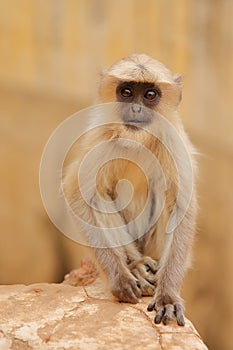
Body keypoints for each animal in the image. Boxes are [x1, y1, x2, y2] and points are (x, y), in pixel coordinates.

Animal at [62, 54, 198, 326]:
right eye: (126, 93)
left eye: (149, 95)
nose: (136, 109)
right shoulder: (101, 139)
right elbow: (77, 196)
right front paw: (120, 279)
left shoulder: (173, 140)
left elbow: (182, 207)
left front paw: (167, 296)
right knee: (98, 195)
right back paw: (134, 265)